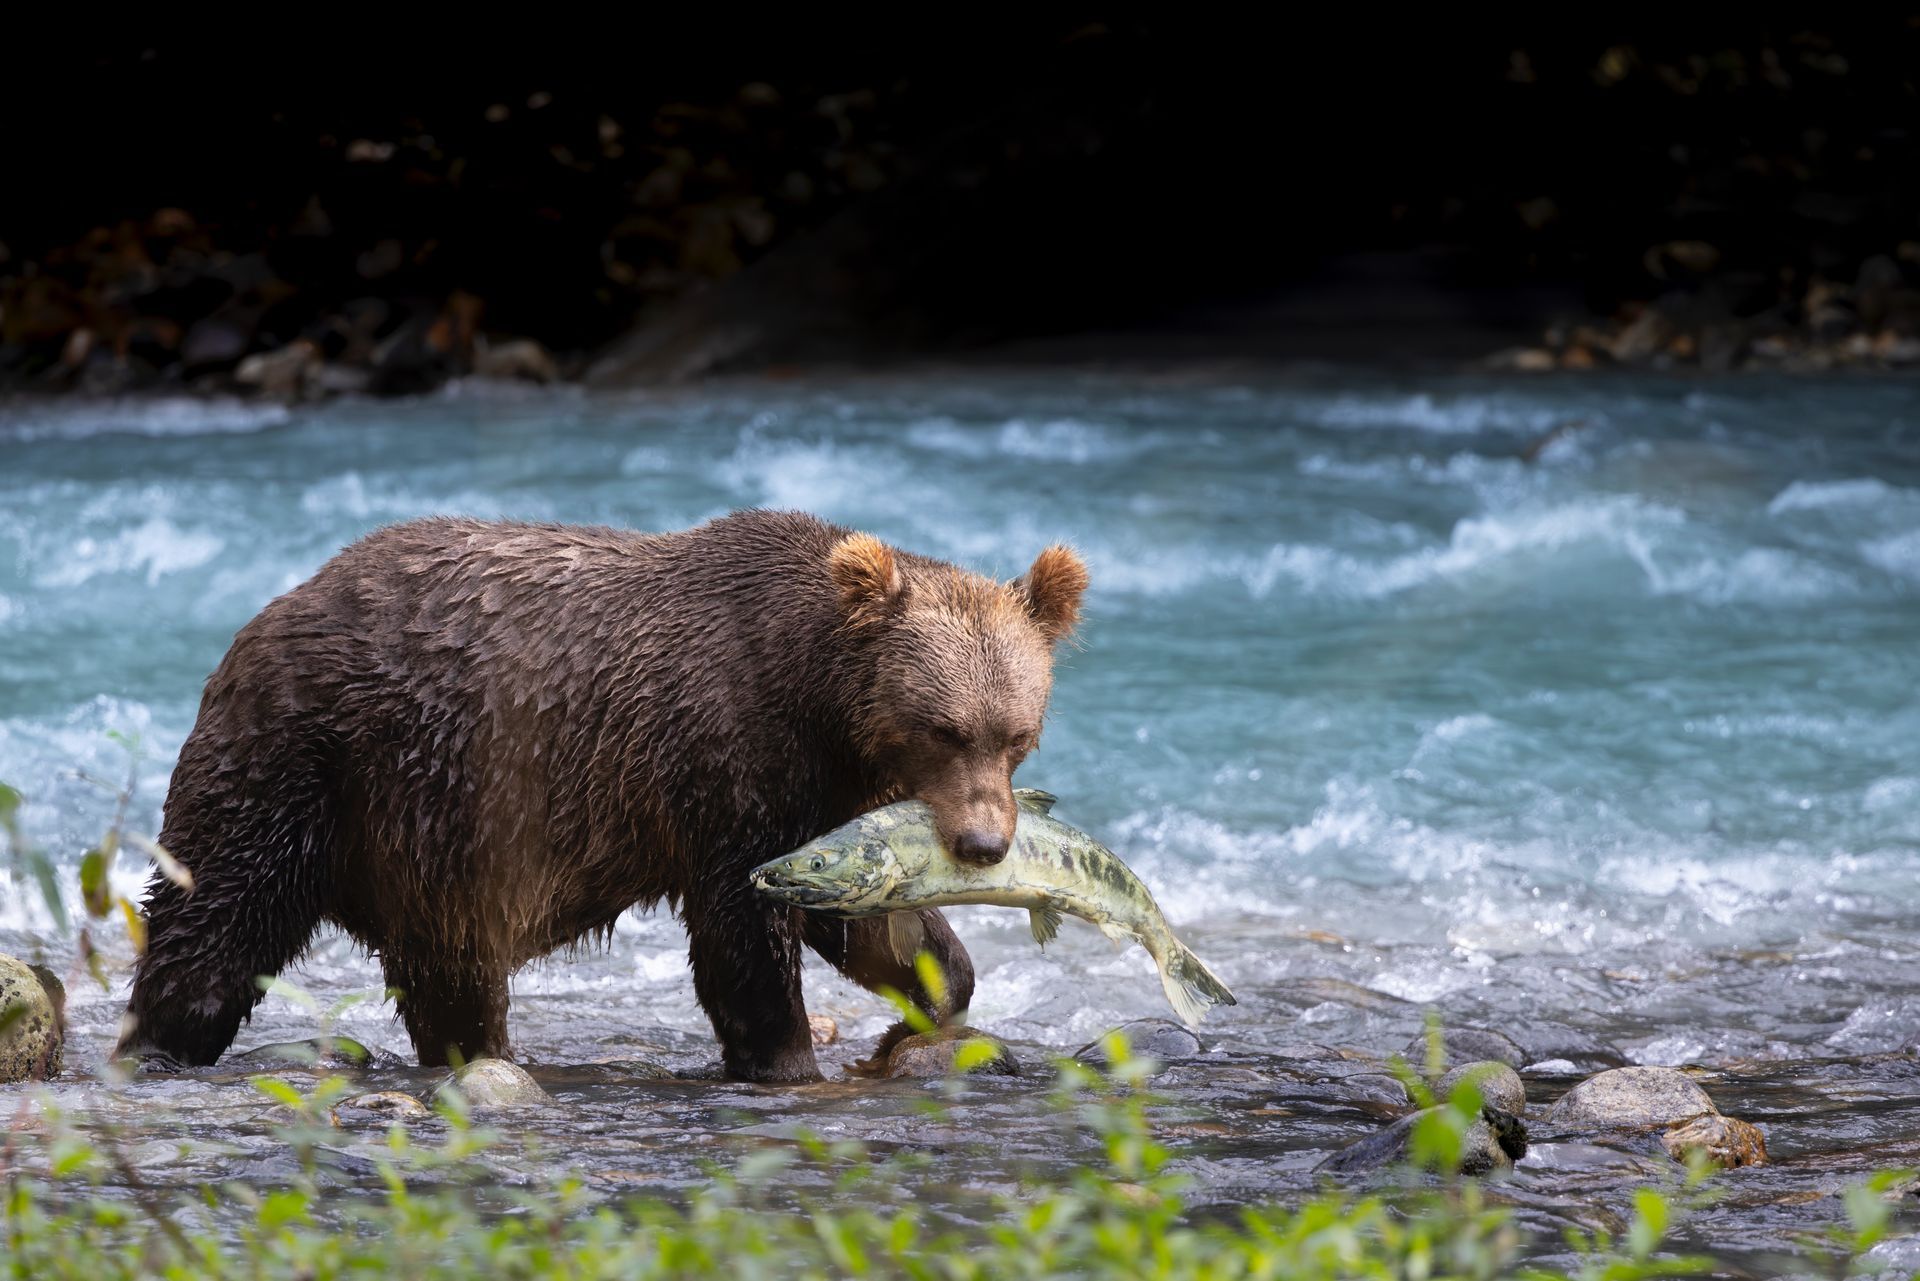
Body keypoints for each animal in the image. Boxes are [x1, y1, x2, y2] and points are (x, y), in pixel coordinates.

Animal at [114, 509, 1088, 1081]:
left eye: (1016, 733)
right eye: (943, 727)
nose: (983, 843)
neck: (817, 696)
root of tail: (261, 618)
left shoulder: (824, 795)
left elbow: (868, 921)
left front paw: (933, 991)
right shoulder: (727, 760)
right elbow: (742, 938)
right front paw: (784, 1054)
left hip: (421, 835)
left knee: (445, 969)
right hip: (316, 763)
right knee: (220, 918)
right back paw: (158, 1041)